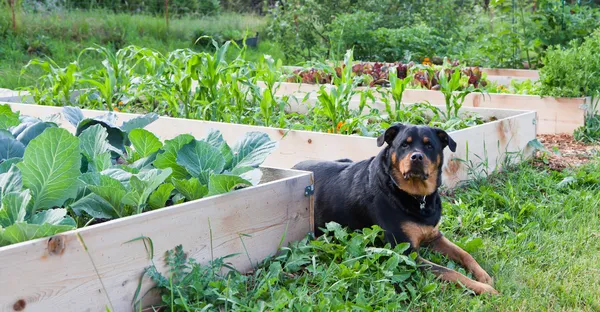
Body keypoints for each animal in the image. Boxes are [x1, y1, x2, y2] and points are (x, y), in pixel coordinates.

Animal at [294, 123, 496, 294]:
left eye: (429, 146)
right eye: (404, 145)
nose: (416, 156)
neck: (416, 197)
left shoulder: (434, 236)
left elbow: (465, 253)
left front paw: (484, 276)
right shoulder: (406, 253)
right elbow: (450, 272)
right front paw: (484, 289)